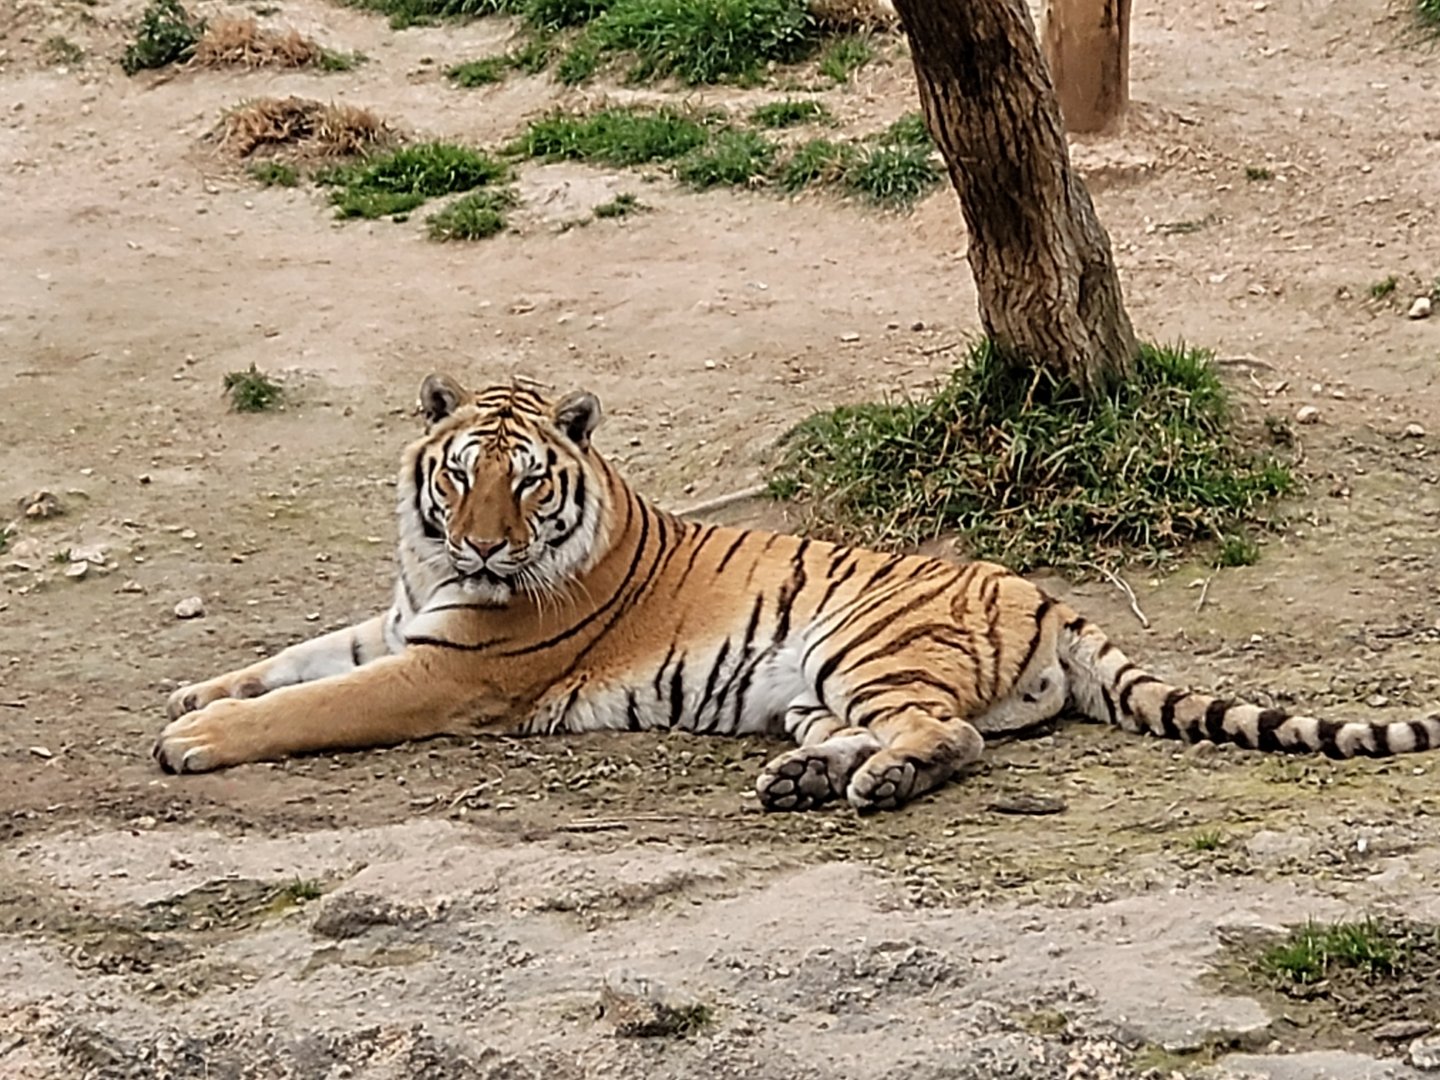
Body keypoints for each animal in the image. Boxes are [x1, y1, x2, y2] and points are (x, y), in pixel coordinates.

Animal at [154, 373, 1440, 812]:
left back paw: (869, 787)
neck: (433, 573)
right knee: (904, 732)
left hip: (867, 646)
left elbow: (315, 701)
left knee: (953, 736)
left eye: (528, 484)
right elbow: (298, 657)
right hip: (818, 685)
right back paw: (808, 779)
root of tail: (1048, 595)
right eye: (462, 474)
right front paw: (194, 694)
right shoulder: (402, 618)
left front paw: (199, 740)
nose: (480, 549)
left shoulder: (451, 669)